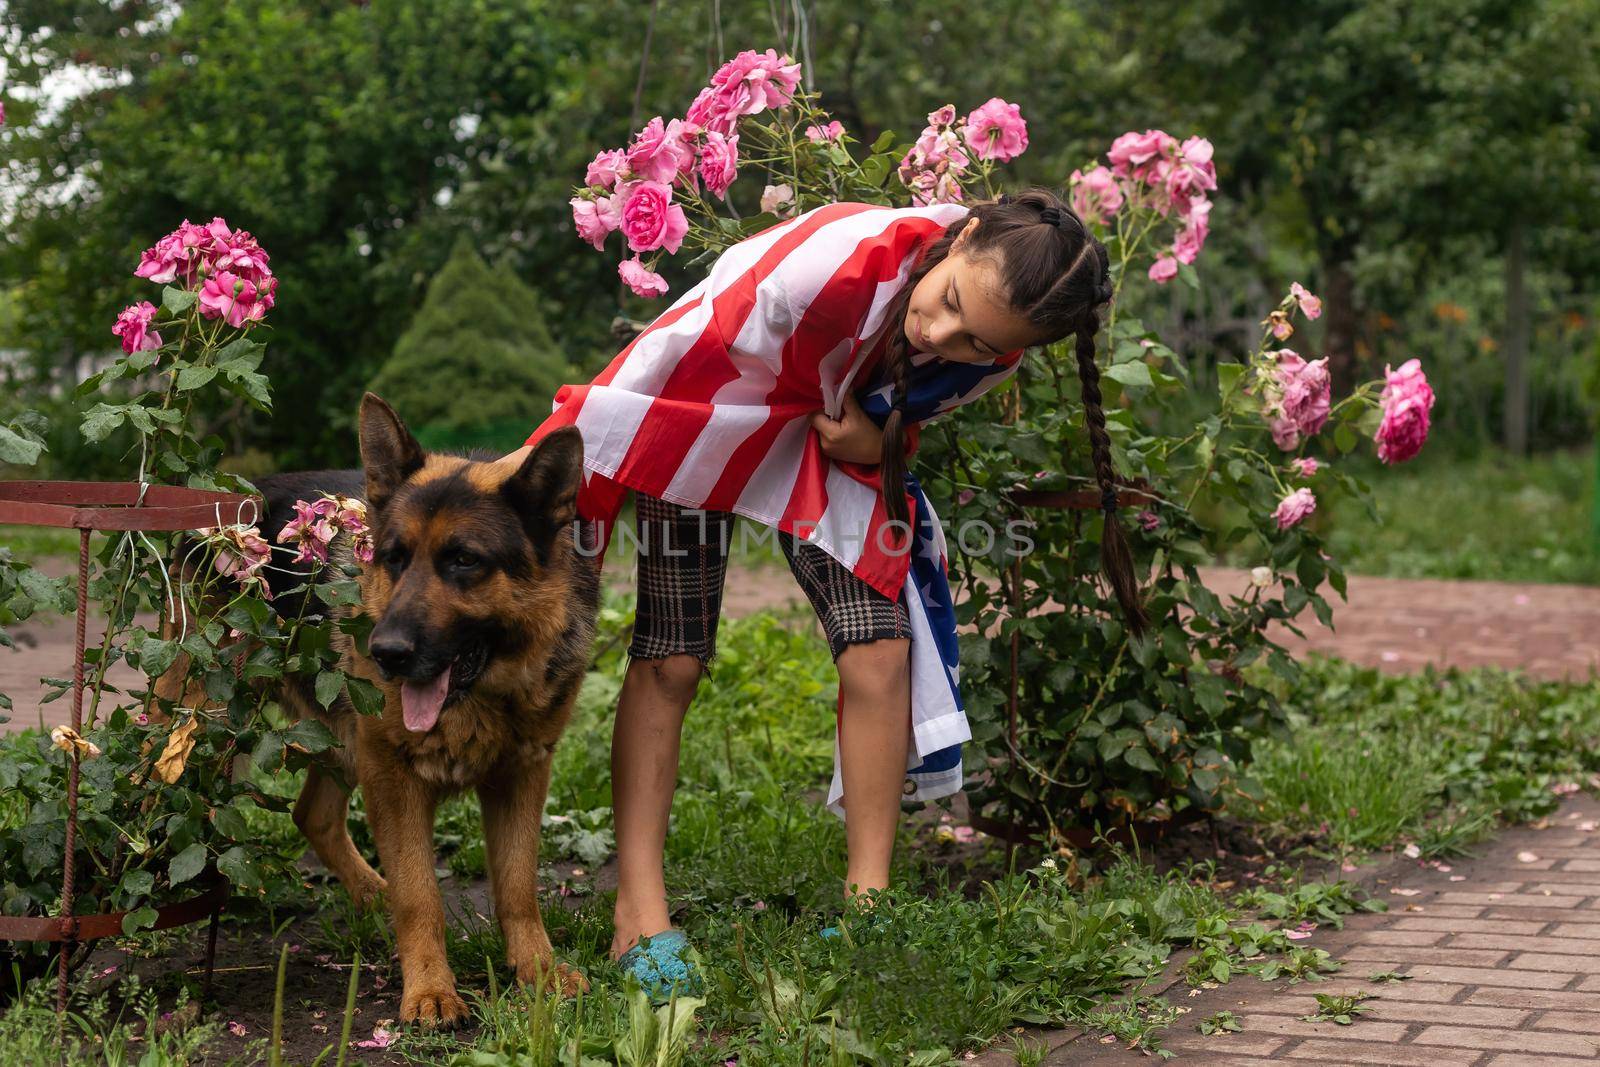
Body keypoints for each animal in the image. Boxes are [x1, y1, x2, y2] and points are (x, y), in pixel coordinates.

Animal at [162, 395, 601, 1023]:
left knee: (313, 816)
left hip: (341, 744)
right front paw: (430, 990)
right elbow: (421, 896)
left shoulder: (523, 773)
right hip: (209, 730)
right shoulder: (393, 778)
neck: (482, 695)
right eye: (392, 557)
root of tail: (222, 514)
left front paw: (538, 973)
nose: (386, 653)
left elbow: (518, 887)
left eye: (464, 561)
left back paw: (374, 896)